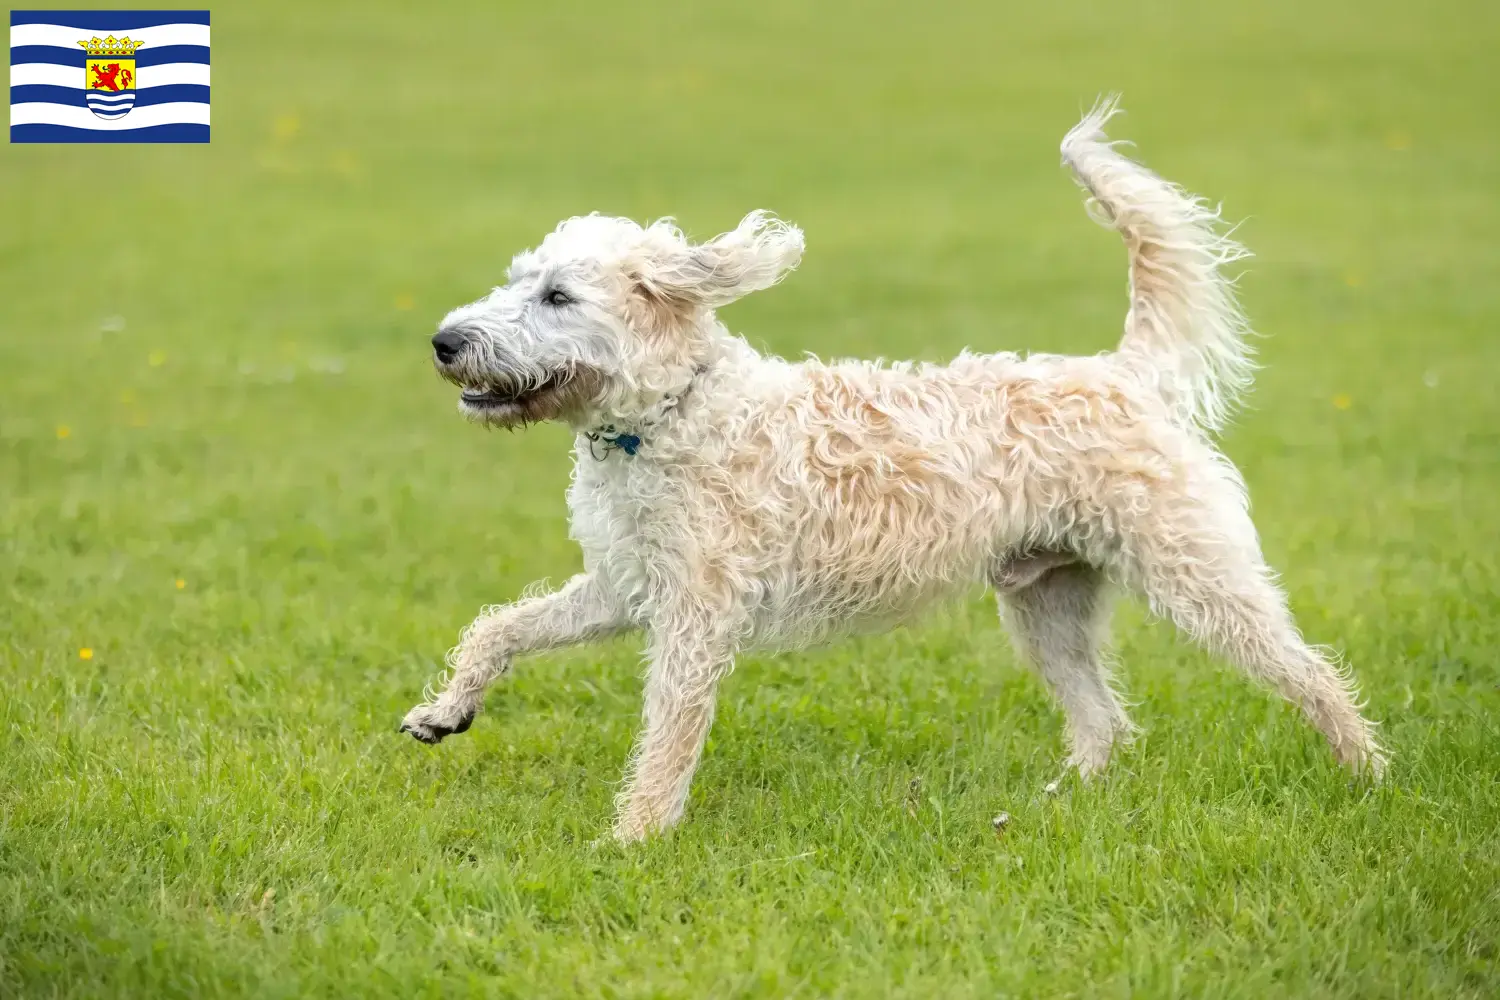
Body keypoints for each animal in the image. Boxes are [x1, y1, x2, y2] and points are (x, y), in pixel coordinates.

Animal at [399, 99, 1380, 845]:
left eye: (557, 296)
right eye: (516, 279)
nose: (444, 342)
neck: (667, 414)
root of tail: (1122, 371)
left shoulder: (696, 619)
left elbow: (667, 736)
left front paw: (634, 839)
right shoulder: (624, 586)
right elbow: (500, 629)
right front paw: (445, 713)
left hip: (1198, 576)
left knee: (1310, 671)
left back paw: (1367, 773)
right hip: (1046, 604)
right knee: (1104, 719)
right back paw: (1062, 802)